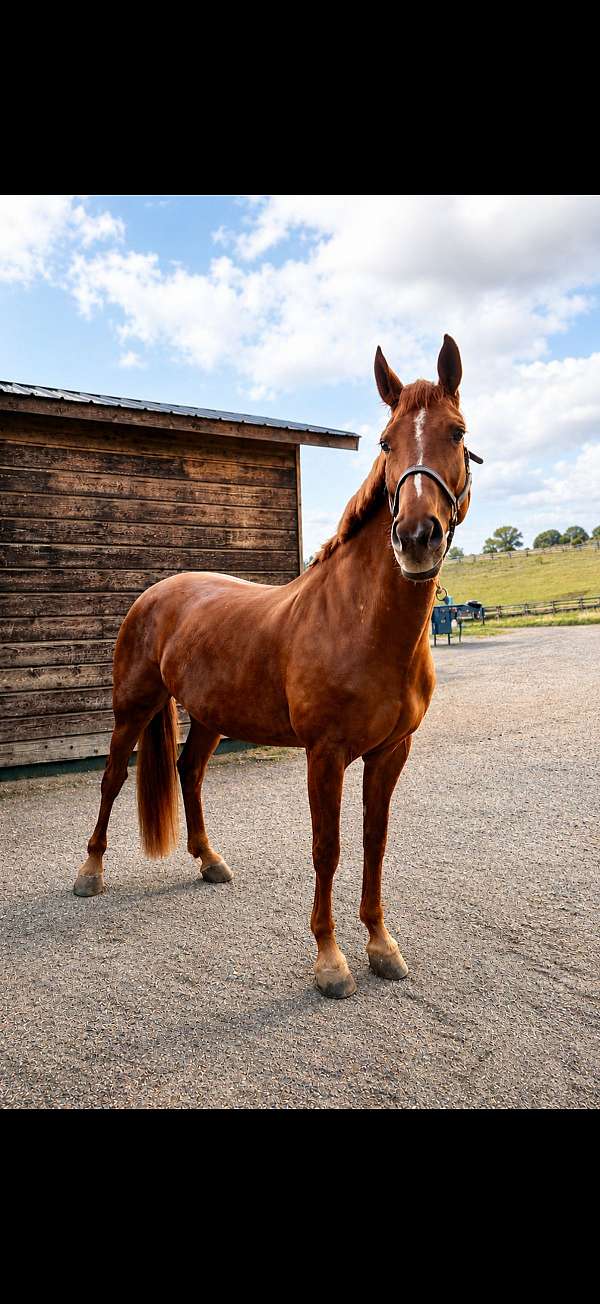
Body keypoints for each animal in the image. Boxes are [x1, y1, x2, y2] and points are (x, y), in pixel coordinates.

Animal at [73, 334, 481, 999]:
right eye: (386, 442)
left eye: (457, 432)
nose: (417, 535)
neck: (360, 623)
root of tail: (155, 594)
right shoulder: (326, 753)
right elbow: (328, 848)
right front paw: (330, 961)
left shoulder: (390, 752)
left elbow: (374, 843)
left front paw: (381, 946)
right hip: (131, 708)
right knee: (111, 780)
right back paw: (90, 872)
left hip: (210, 717)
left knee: (189, 772)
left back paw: (209, 860)